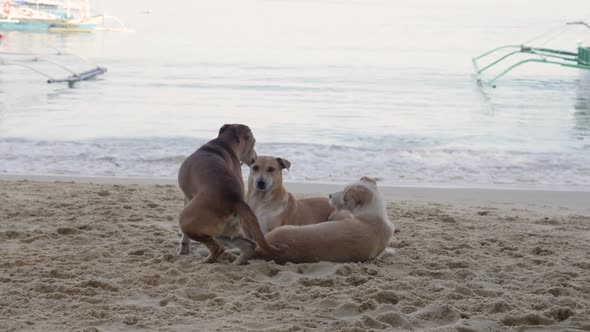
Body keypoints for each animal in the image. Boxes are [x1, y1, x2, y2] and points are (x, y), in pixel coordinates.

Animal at [176, 124, 286, 264]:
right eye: (254, 142)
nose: (255, 158)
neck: (223, 144)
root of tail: (234, 199)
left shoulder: (188, 197)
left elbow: (185, 238)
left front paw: (184, 249)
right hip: (224, 231)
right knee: (249, 245)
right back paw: (235, 264)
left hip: (187, 220)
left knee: (218, 249)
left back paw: (202, 263)